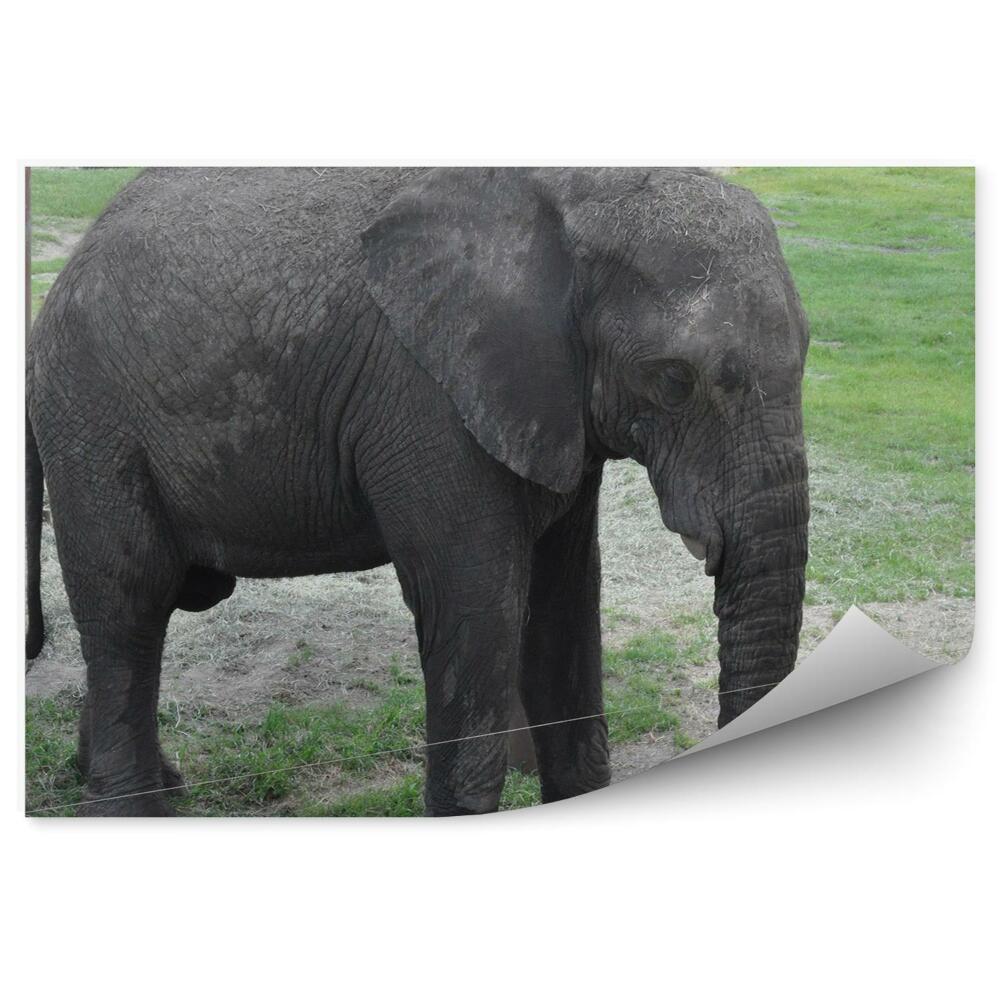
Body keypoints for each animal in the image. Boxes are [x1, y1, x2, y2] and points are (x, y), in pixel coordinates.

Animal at [25, 167, 809, 816]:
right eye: (675, 380)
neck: (573, 191)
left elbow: (566, 603)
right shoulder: (427, 400)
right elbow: (476, 606)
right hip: (94, 424)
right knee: (129, 603)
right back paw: (131, 810)